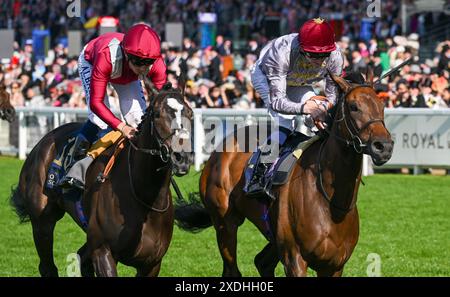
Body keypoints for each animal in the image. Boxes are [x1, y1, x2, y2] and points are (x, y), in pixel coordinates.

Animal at [10, 78, 193, 276]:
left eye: (190, 113)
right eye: (158, 114)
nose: (182, 157)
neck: (145, 197)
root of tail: (43, 141)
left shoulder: (152, 263)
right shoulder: (102, 250)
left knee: (82, 258)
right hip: (42, 220)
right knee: (47, 265)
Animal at [176, 71, 394, 276]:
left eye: (382, 105)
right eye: (354, 106)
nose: (383, 146)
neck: (331, 201)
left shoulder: (334, 265)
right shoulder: (294, 259)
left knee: (261, 261)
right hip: (225, 223)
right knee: (232, 268)